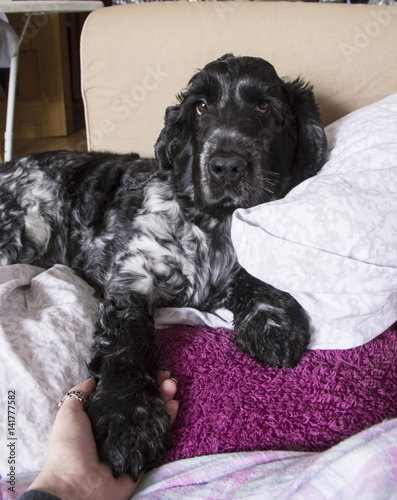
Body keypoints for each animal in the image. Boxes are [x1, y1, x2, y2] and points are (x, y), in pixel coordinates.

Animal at [0, 54, 324, 480]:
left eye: (264, 106)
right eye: (200, 107)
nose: (226, 165)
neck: (211, 222)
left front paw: (272, 323)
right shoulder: (132, 277)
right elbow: (127, 342)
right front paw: (128, 419)